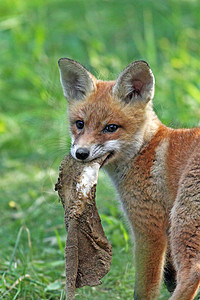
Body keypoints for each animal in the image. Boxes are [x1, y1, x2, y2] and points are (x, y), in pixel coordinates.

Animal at [57, 58, 200, 300]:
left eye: (111, 128)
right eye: (79, 124)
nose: (81, 153)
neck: (144, 149)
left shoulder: (148, 229)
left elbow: (144, 290)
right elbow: (170, 277)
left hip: (185, 225)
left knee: (192, 274)